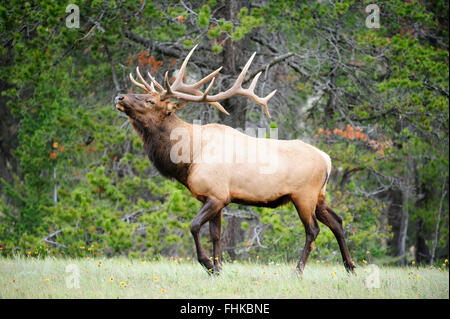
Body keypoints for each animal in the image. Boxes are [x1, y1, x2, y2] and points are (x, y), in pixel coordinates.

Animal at [115, 44, 356, 276]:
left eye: (150, 100)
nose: (120, 97)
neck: (187, 159)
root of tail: (327, 160)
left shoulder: (216, 195)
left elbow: (194, 226)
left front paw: (208, 265)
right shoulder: (215, 198)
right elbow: (216, 235)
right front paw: (219, 269)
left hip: (303, 195)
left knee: (313, 230)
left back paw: (298, 271)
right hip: (319, 196)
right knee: (337, 222)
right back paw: (350, 267)